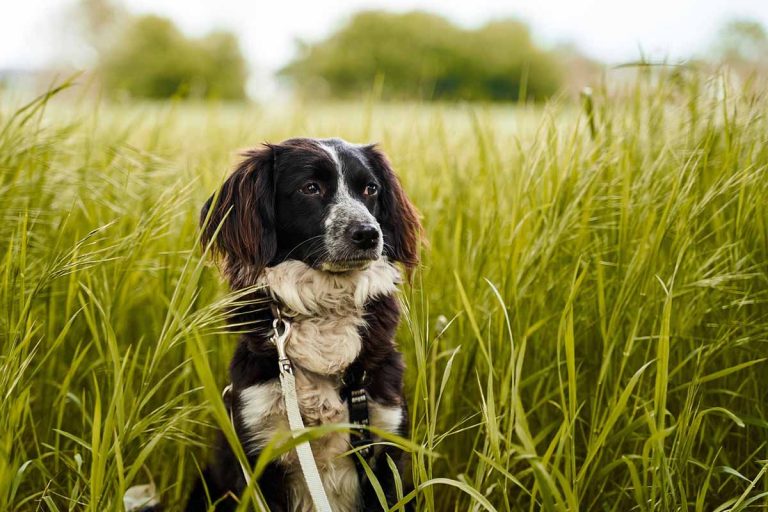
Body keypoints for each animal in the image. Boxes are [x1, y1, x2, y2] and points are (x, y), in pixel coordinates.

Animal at [188, 138, 424, 510]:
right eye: (310, 188)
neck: (325, 310)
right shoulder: (260, 452)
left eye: (370, 189)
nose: (369, 234)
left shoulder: (384, 446)